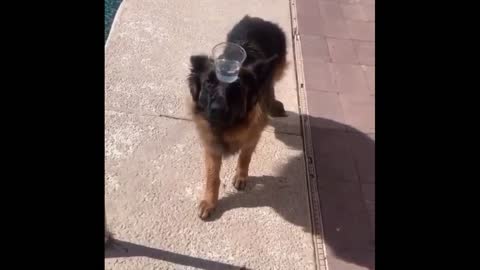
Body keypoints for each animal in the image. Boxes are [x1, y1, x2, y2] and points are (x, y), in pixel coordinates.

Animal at [188, 15, 288, 219]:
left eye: (236, 88)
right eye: (209, 83)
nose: (217, 109)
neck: (228, 127)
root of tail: (259, 19)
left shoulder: (253, 135)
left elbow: (245, 156)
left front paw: (241, 176)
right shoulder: (212, 144)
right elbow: (212, 176)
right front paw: (210, 202)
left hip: (275, 69)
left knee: (271, 84)